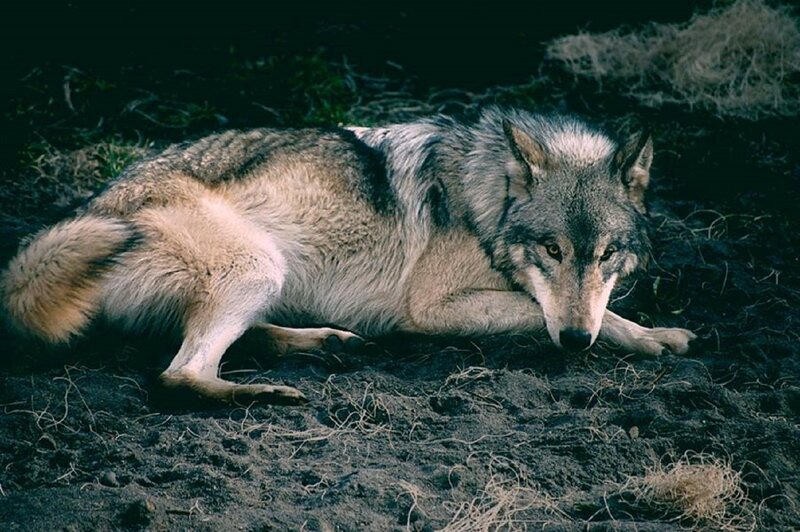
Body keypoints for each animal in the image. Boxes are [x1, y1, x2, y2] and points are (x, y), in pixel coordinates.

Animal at [1, 107, 695, 405]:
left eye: (606, 254)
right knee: (179, 374)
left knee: (233, 340)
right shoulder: (430, 310)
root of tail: (90, 210)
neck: (484, 198)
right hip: (259, 264)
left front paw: (645, 332)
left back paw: (327, 344)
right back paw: (267, 393)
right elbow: (552, 314)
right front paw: (650, 338)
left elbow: (596, 310)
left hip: (263, 276)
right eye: (552, 249)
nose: (575, 342)